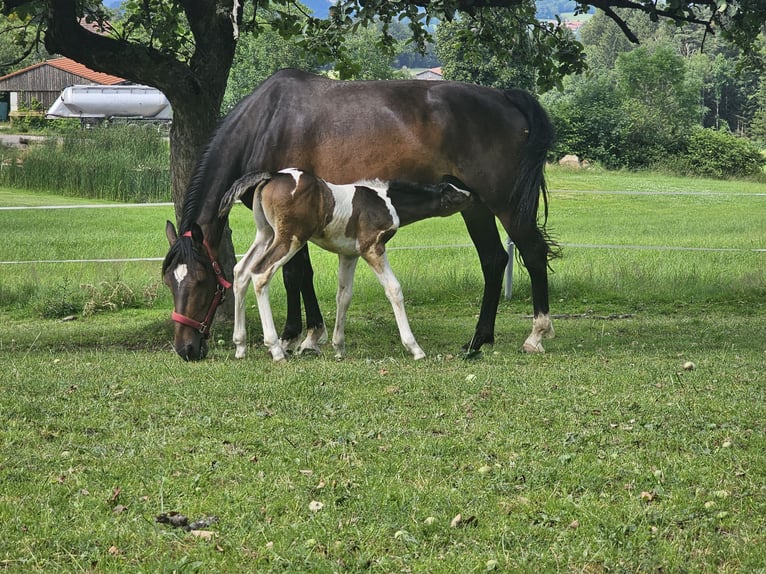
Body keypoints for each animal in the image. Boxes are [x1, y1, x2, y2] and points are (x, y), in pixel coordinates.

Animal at [219, 169, 476, 362]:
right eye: (451, 191)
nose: (471, 193)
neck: (386, 201)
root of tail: (271, 176)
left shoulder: (349, 255)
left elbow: (344, 295)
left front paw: (339, 348)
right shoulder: (372, 248)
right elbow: (394, 289)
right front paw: (415, 348)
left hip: (266, 234)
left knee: (240, 272)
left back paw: (240, 346)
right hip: (290, 239)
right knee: (260, 273)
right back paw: (275, 349)